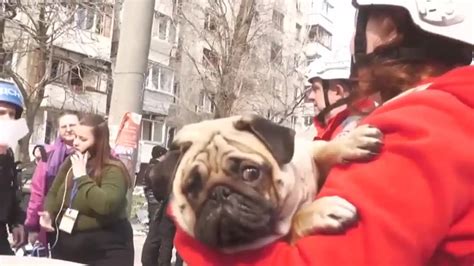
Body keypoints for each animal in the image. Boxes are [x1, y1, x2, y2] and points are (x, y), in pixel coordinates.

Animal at [152, 114, 382, 254]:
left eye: (250, 173)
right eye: (193, 187)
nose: (219, 193)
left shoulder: (309, 154)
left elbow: (324, 150)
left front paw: (350, 141)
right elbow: (295, 222)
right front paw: (322, 211)